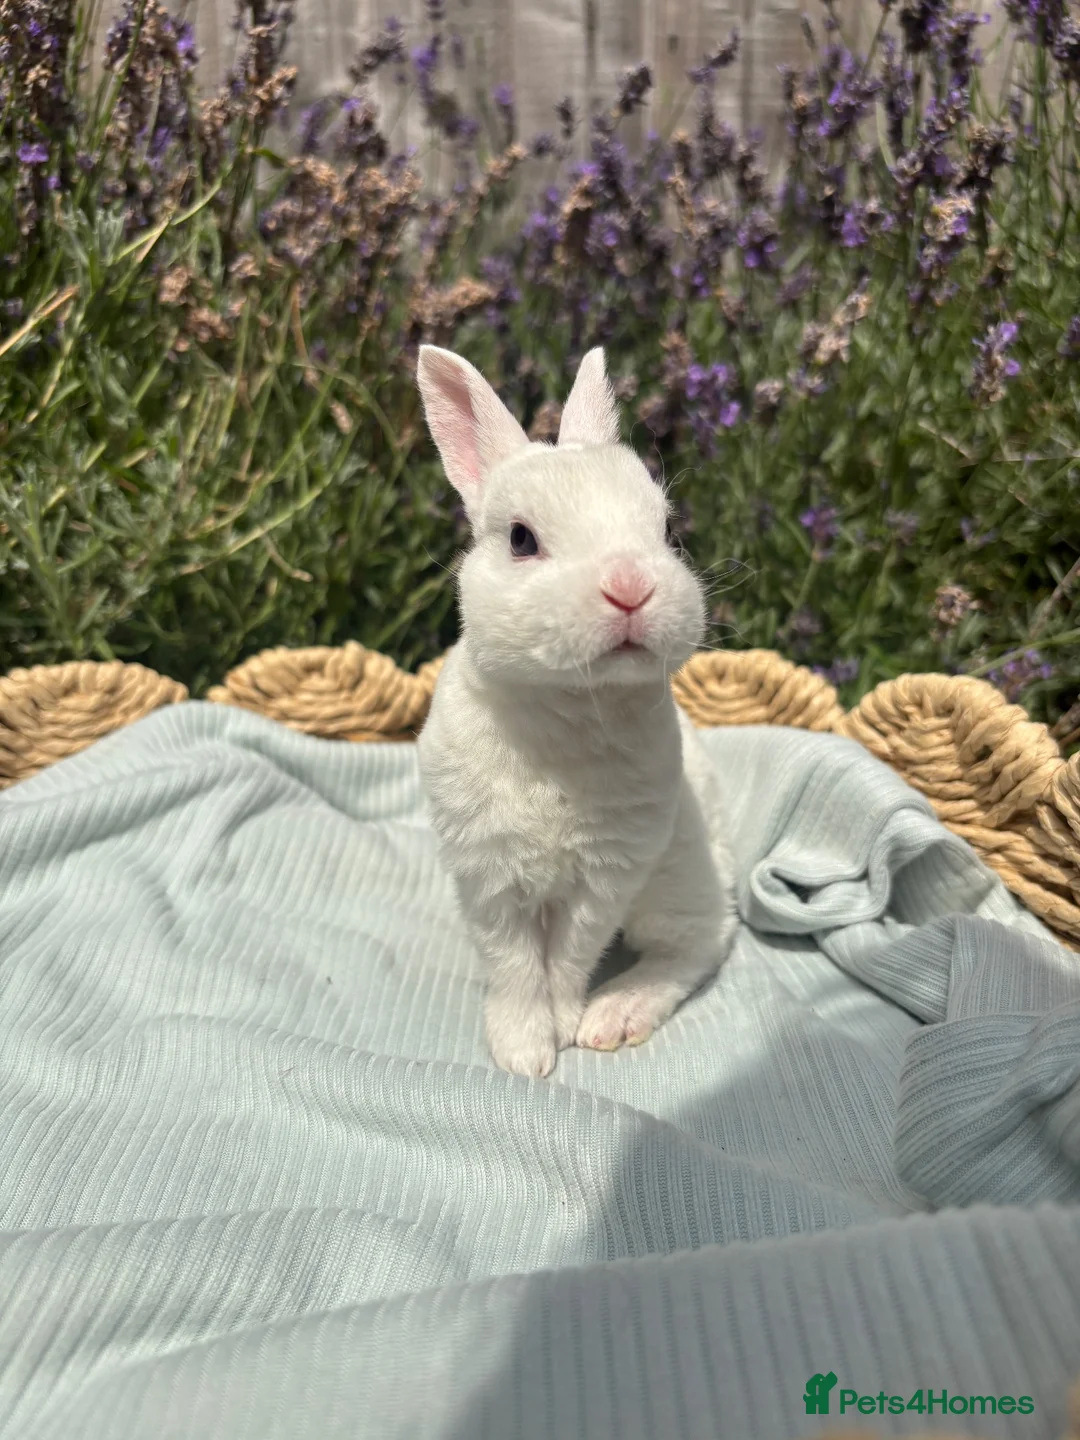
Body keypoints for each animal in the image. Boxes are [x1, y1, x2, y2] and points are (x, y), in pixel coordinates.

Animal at [414, 342, 739, 1078]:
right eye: (521, 539)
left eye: (668, 529)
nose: (630, 587)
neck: (568, 705)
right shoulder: (488, 875)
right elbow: (514, 963)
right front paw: (523, 1052)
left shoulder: (607, 878)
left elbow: (567, 958)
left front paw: (561, 1031)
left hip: (673, 882)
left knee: (702, 943)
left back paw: (614, 1014)